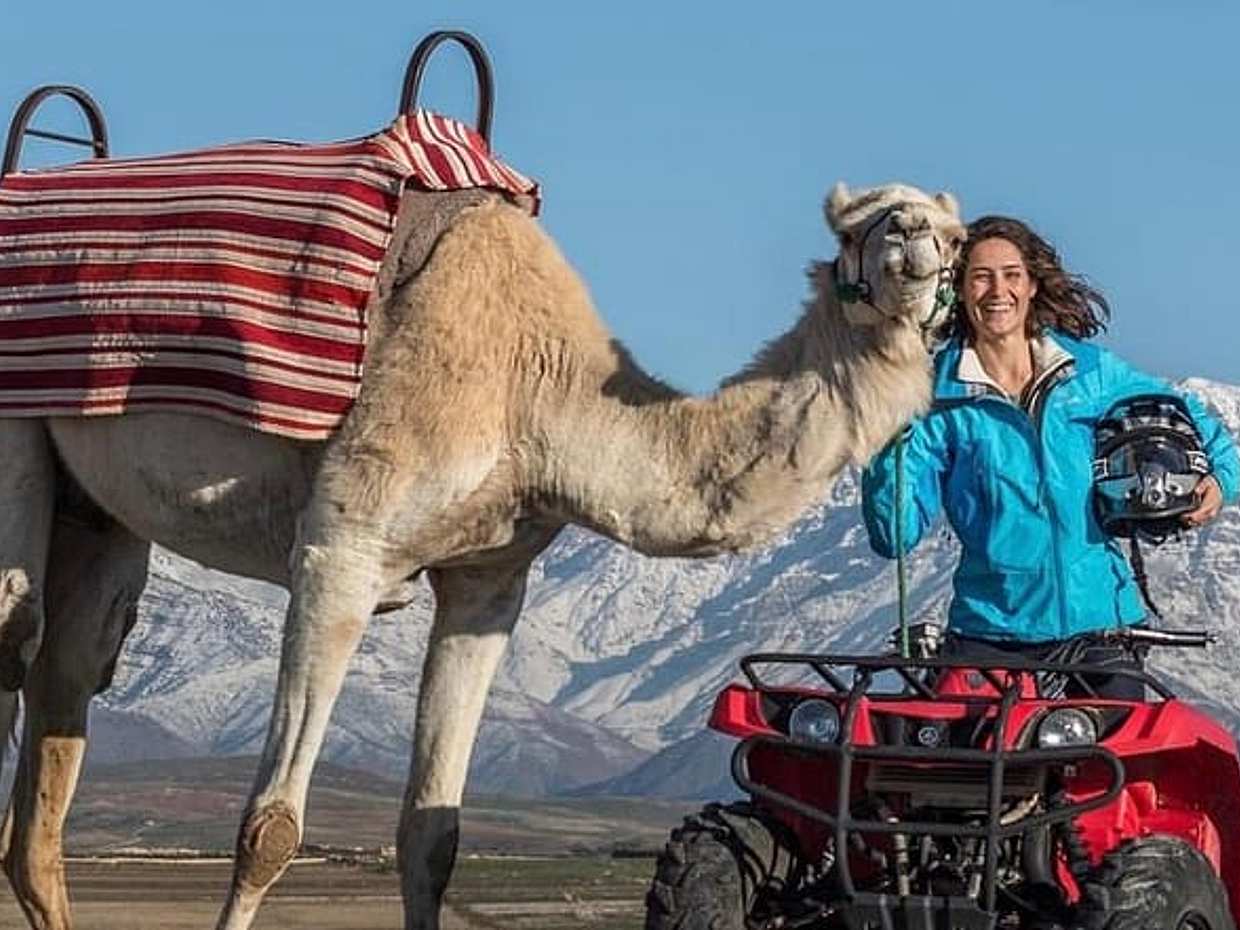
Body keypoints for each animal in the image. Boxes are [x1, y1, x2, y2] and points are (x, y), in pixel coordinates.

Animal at [0, 179, 963, 930]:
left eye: (952, 231)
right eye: (860, 226)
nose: (915, 241)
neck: (538, 392)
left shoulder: (490, 583)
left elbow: (435, 832)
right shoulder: (341, 550)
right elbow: (268, 828)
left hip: (97, 513)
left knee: (66, 687)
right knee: (20, 630)